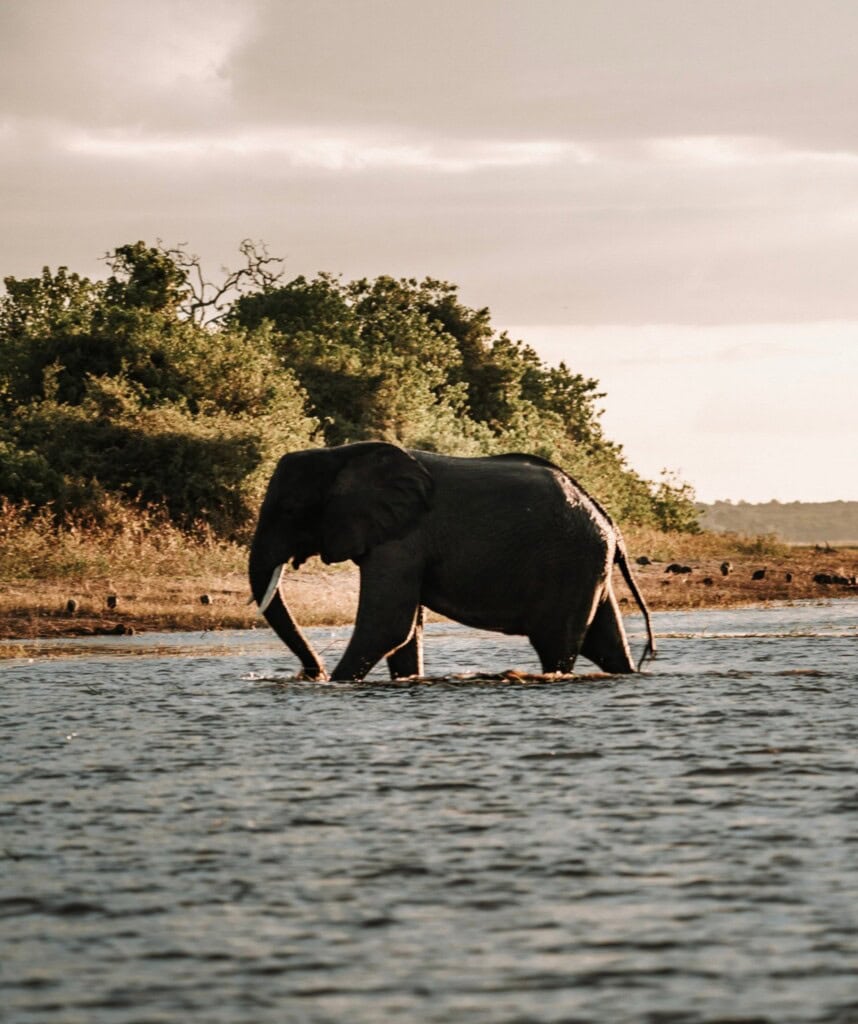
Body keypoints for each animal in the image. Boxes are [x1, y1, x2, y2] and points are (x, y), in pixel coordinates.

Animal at [248, 441, 656, 681]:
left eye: (290, 509)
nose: (311, 674)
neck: (341, 454)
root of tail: (612, 527)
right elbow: (404, 632)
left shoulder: (403, 538)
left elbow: (386, 627)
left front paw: (338, 683)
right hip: (588, 567)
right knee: (605, 644)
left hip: (570, 566)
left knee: (557, 645)